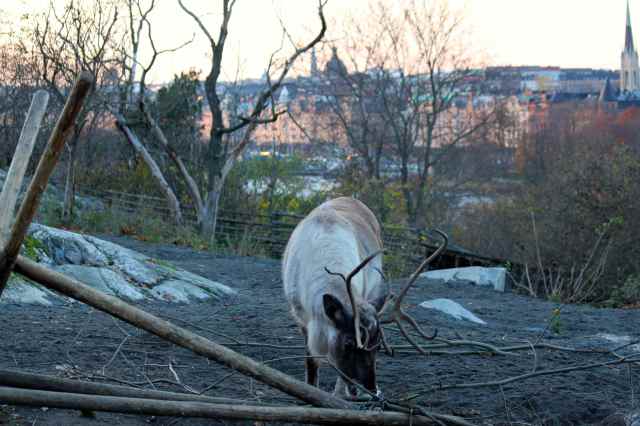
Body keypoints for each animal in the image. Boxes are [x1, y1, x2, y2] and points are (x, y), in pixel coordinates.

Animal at [282, 197, 448, 398]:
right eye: (348, 344)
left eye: (378, 346)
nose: (371, 390)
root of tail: (350, 198)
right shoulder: (301, 317)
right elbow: (311, 363)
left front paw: (339, 395)